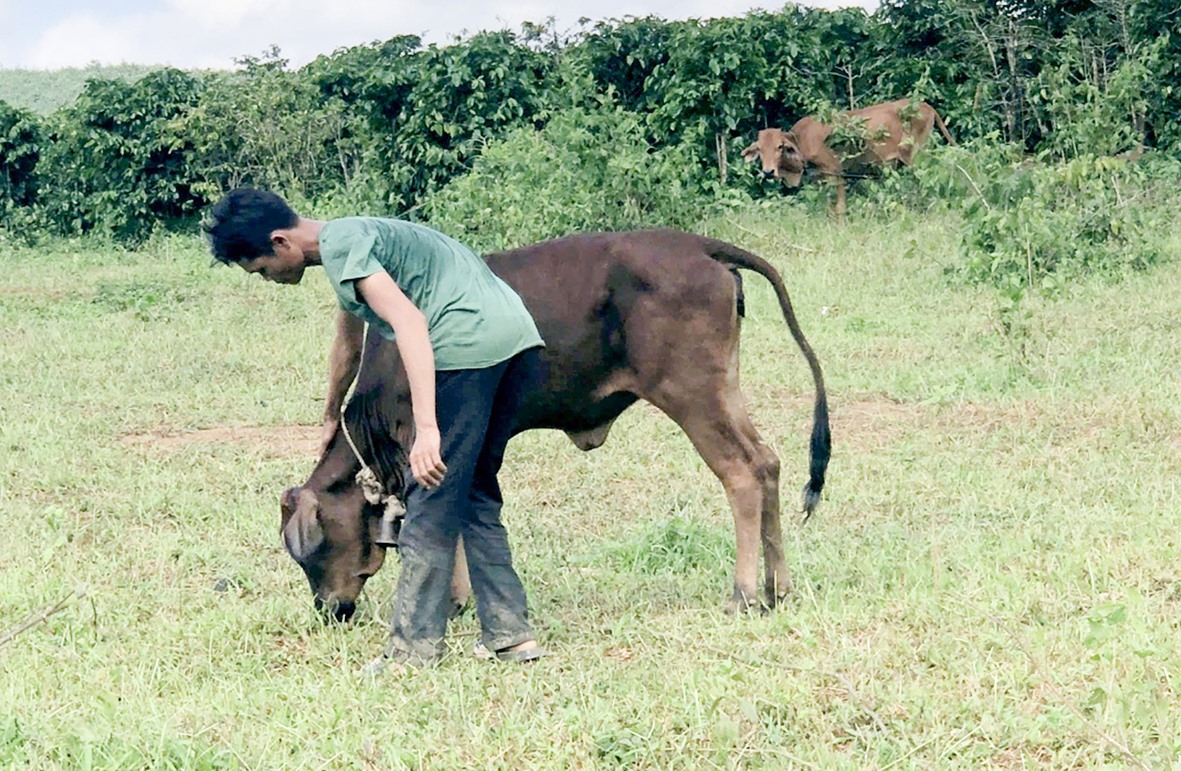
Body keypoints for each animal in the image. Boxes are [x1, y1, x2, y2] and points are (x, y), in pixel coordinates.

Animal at [276, 226, 831, 618]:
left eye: (314, 549)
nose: (329, 610)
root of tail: (698, 246)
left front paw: (451, 601)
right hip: (724, 391)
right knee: (767, 463)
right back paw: (778, 588)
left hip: (692, 395)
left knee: (742, 475)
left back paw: (743, 593)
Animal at [741, 98, 954, 216]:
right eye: (760, 149)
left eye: (780, 147)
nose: (768, 172)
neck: (801, 140)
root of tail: (926, 106)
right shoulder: (818, 178)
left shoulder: (835, 172)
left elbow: (840, 207)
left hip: (916, 157)